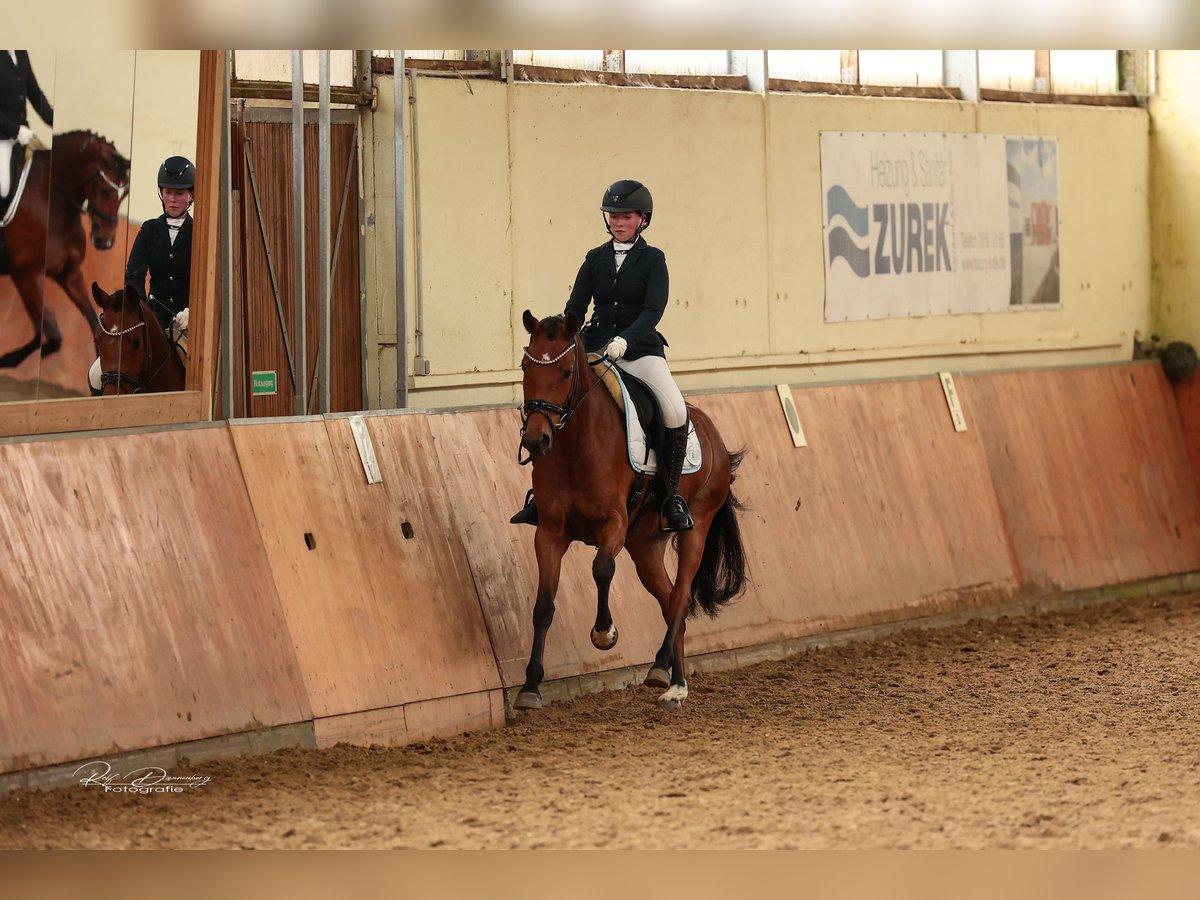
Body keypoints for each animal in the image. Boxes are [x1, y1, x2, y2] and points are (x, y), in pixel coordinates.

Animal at [0, 128, 130, 367]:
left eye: (124, 195)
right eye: (105, 191)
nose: (104, 242)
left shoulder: (69, 274)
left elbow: (91, 323)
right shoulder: (26, 276)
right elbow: (53, 334)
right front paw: (9, 359)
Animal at [516, 309, 748, 710]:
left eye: (565, 373)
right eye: (525, 368)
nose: (536, 440)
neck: (575, 445)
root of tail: (716, 439)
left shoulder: (614, 524)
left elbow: (602, 568)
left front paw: (604, 633)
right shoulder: (549, 533)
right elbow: (543, 605)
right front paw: (530, 687)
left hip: (696, 527)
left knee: (681, 597)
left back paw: (664, 673)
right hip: (646, 547)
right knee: (670, 603)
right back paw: (671, 680)